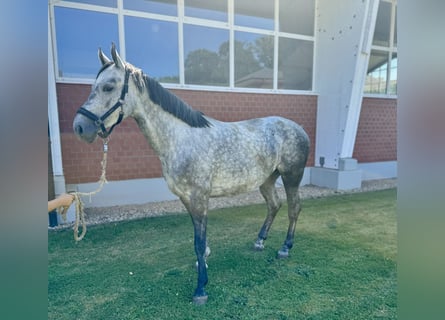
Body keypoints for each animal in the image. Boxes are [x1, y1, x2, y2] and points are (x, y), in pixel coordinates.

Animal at [73, 43, 308, 304]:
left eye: (108, 86)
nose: (80, 127)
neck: (180, 138)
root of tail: (299, 128)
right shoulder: (186, 198)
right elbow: (198, 240)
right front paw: (202, 263)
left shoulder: (199, 198)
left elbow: (198, 242)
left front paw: (201, 288)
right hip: (266, 180)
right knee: (274, 205)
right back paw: (259, 241)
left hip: (292, 177)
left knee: (294, 208)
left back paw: (285, 248)